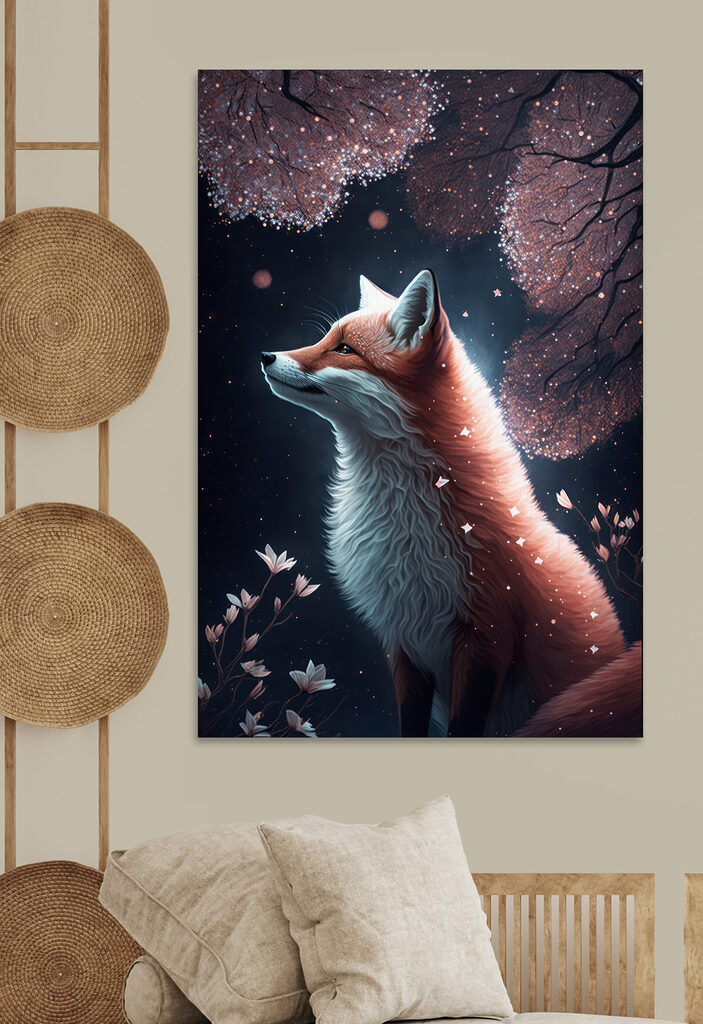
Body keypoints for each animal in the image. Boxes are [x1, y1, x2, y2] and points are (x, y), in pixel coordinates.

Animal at [261, 269, 642, 737]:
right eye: (325, 338)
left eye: (344, 349)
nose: (266, 355)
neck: (405, 525)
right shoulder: (404, 642)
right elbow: (411, 726)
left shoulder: (487, 639)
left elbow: (464, 726)